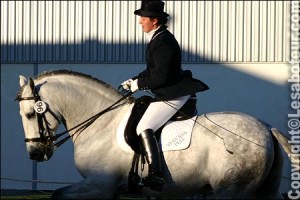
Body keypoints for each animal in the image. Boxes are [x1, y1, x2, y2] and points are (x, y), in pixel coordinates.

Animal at [15, 70, 292, 198]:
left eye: (29, 114)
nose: (35, 153)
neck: (100, 123)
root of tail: (266, 127)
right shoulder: (109, 190)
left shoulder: (99, 185)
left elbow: (58, 195)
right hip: (264, 190)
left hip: (231, 191)